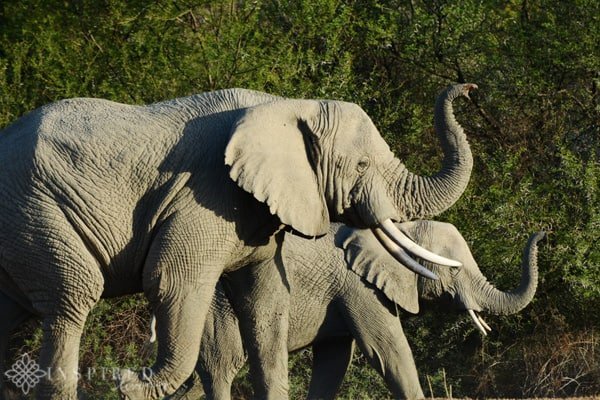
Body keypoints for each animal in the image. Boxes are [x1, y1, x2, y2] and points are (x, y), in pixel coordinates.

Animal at [0, 83, 476, 398]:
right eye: (360, 166)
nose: (467, 91)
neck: (285, 106)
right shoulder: (202, 196)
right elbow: (171, 281)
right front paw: (132, 385)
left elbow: (266, 303)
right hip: (36, 211)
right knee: (72, 298)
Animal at [168, 220, 544, 398]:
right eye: (453, 269)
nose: (542, 233)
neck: (400, 229)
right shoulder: (359, 287)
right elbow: (388, 351)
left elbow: (335, 362)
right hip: (214, 306)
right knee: (222, 367)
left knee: (201, 378)